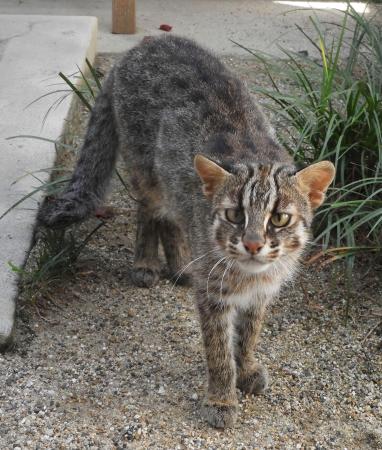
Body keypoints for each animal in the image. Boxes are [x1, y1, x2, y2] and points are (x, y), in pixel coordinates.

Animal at [39, 36, 334, 428]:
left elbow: (249, 334)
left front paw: (247, 366)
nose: (253, 244)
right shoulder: (213, 294)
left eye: (280, 219)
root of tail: (142, 45)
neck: (249, 275)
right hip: (147, 170)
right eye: (234, 215)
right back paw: (148, 262)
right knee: (150, 211)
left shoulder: (262, 293)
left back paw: (180, 263)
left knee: (173, 217)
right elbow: (218, 350)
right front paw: (222, 398)